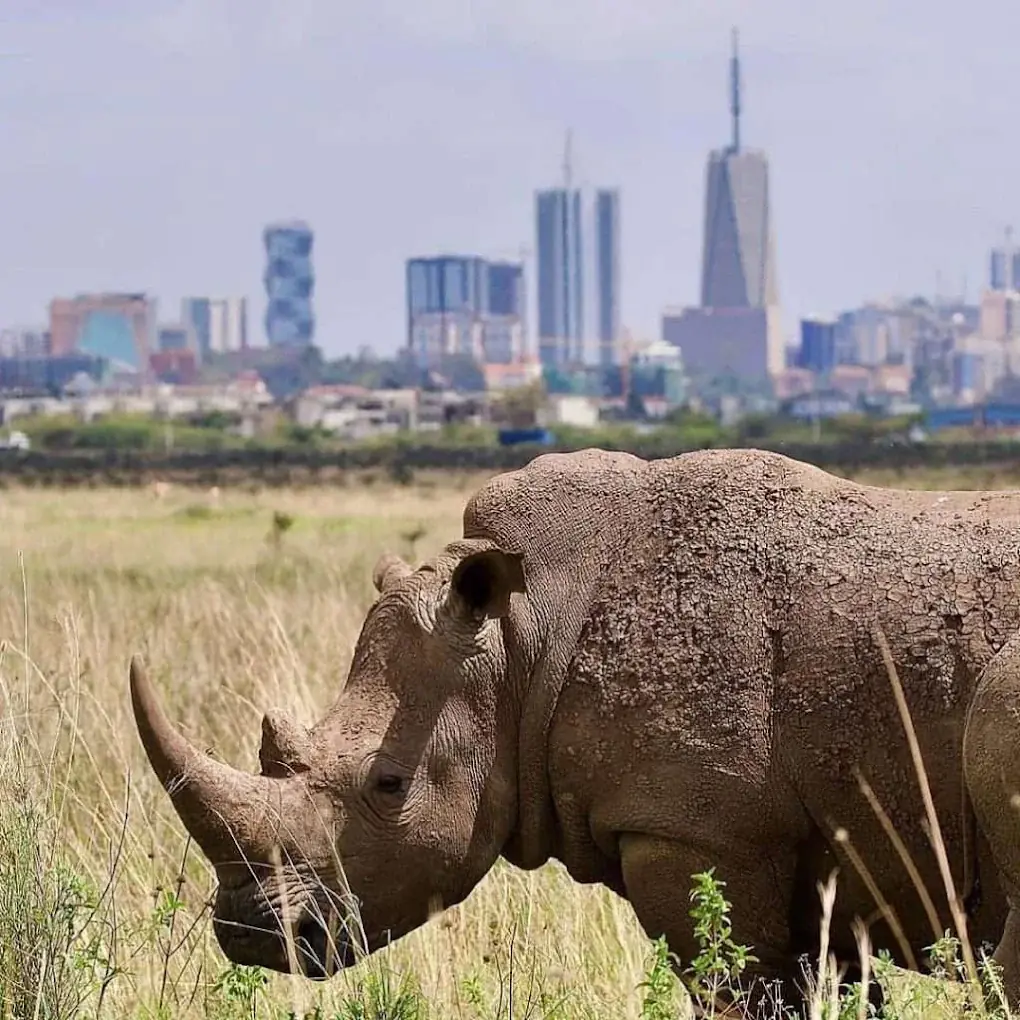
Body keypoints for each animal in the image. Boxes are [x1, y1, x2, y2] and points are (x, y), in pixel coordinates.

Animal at [130, 447, 1020, 1014]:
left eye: (387, 786)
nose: (253, 934)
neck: (521, 638)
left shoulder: (696, 832)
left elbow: (738, 985)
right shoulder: (819, 862)